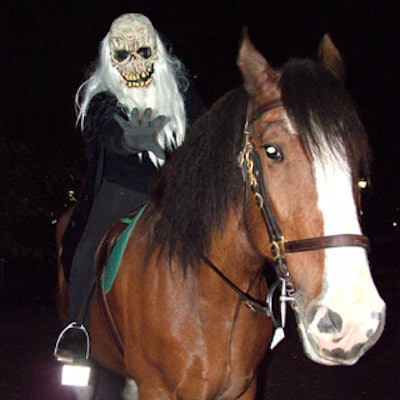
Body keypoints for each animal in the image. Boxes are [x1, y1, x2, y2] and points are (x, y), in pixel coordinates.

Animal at [55, 34, 384, 400]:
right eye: (272, 150)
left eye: (354, 154)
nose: (354, 320)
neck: (211, 297)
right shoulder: (156, 388)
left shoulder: (243, 389)